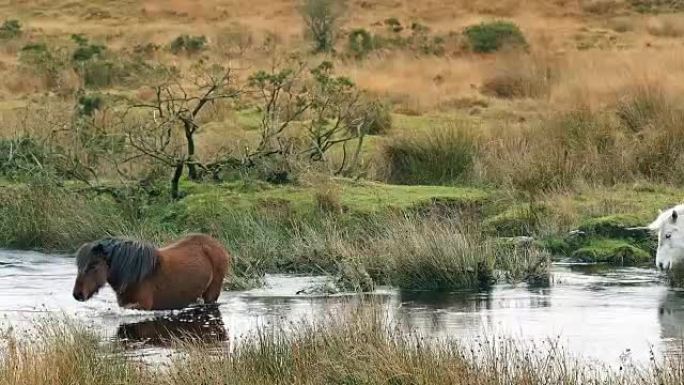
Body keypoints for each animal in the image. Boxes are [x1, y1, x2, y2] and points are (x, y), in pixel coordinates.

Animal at [73, 232, 230, 310]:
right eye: (78, 266)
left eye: (93, 265)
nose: (77, 294)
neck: (134, 276)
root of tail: (217, 245)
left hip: (212, 293)